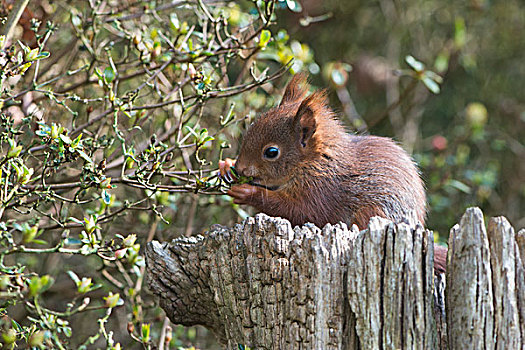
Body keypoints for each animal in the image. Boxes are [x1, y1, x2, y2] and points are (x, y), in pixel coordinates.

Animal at [219, 74, 444, 272]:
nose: (241, 168)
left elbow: (298, 210)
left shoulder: (323, 192)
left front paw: (247, 192)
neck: (314, 163)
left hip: (372, 213)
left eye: (271, 152)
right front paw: (226, 166)